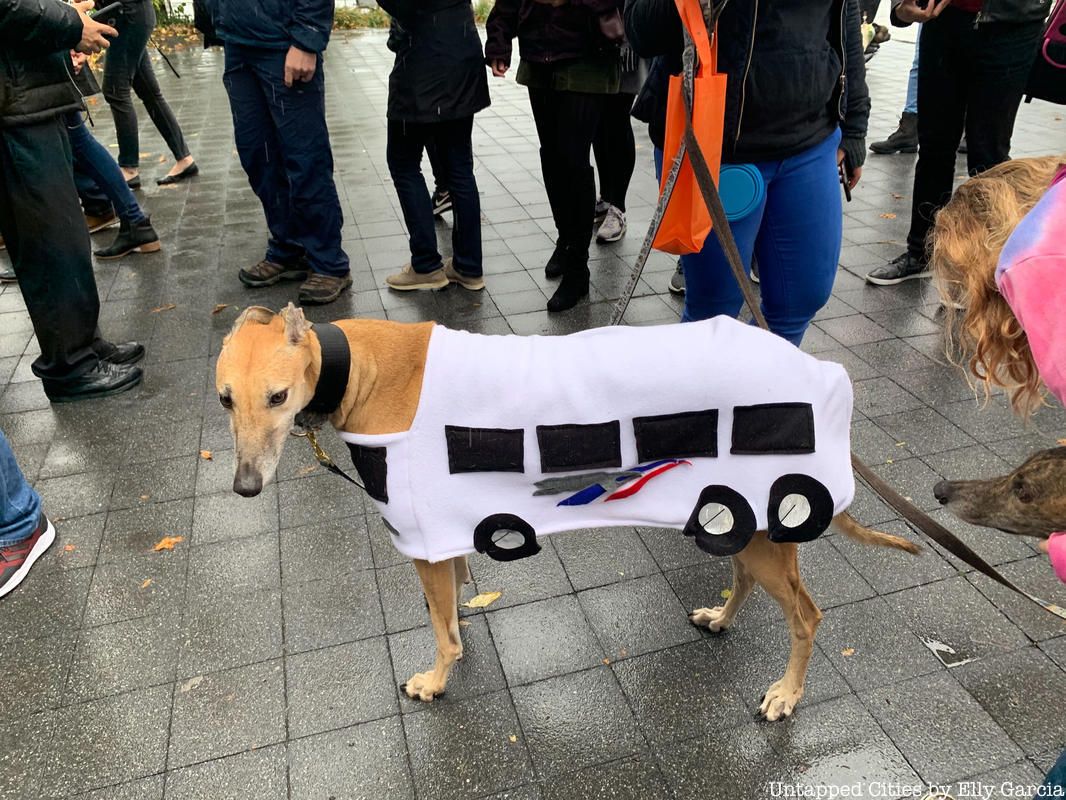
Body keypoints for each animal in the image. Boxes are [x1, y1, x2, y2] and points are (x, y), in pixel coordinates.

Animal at [216, 302, 916, 725]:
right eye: (225, 398)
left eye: (277, 396)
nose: (246, 487)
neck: (358, 364)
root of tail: (820, 369)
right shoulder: (445, 537)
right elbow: (452, 600)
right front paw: (458, 636)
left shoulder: (422, 539)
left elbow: (441, 629)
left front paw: (436, 679)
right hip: (739, 528)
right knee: (742, 575)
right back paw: (721, 618)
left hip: (768, 526)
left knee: (807, 616)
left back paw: (787, 693)